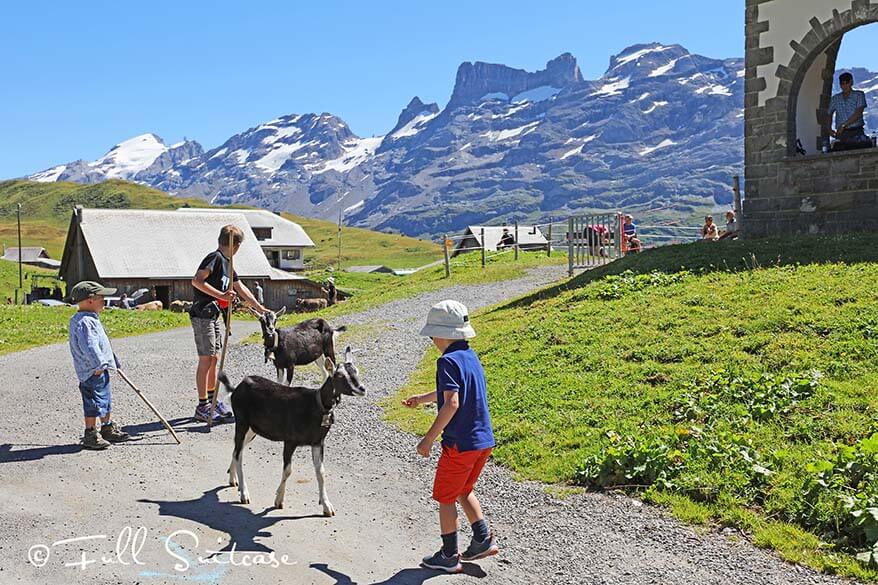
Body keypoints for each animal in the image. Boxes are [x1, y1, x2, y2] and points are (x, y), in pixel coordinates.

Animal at [220, 344, 372, 512]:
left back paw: (233, 480)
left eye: (356, 371)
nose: (362, 389)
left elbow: (321, 472)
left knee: (236, 450)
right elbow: (288, 470)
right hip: (242, 423)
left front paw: (326, 506)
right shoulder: (290, 440)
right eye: (339, 376)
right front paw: (278, 500)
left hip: (253, 430)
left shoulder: (318, 442)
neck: (316, 405)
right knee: (239, 454)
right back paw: (244, 494)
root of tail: (237, 388)